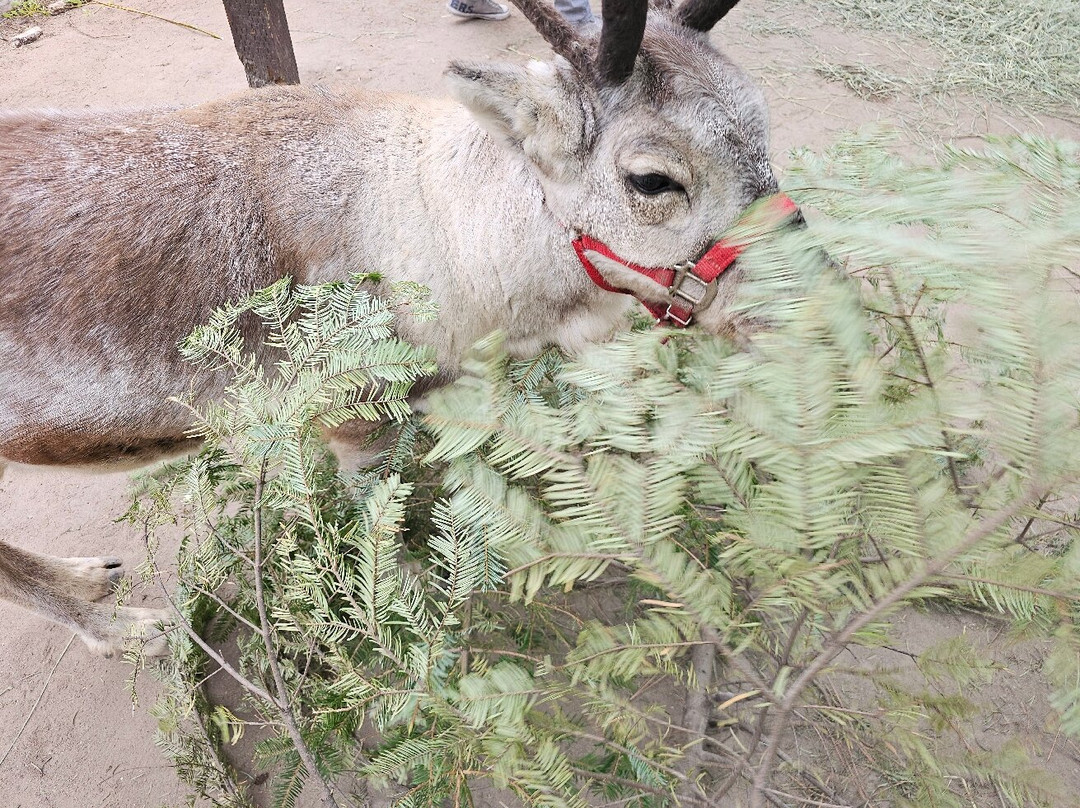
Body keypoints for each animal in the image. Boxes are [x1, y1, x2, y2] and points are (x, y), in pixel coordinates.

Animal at [0, 0, 792, 659]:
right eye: (653, 179)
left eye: (763, 131)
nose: (797, 300)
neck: (437, 224)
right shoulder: (355, 419)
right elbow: (381, 533)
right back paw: (126, 630)